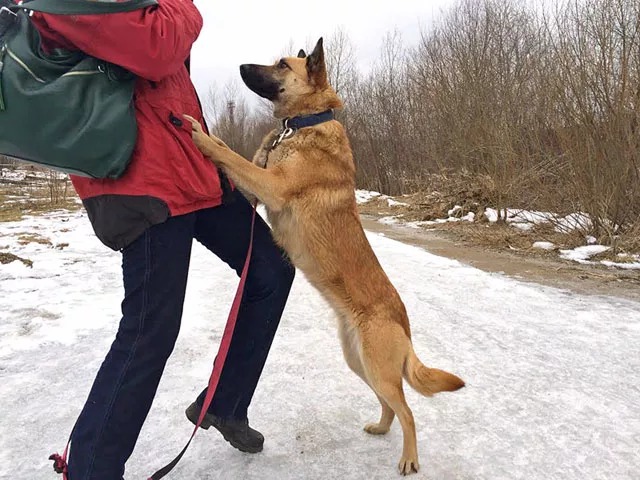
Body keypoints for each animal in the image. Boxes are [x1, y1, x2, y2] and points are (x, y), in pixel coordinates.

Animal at [182, 38, 462, 476]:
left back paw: (409, 459)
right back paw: (381, 428)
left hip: (377, 367)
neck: (301, 124)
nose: (242, 66)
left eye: (282, 65)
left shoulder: (271, 186)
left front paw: (202, 137)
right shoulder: (257, 187)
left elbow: (232, 156)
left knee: (409, 412)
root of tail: (403, 321)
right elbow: (238, 159)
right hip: (359, 362)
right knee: (390, 405)